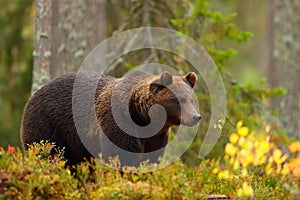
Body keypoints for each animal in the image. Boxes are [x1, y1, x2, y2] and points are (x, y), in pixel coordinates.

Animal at [20, 71, 199, 166]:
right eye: (180, 100)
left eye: (191, 100)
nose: (196, 117)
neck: (144, 119)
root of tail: (33, 96)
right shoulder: (119, 123)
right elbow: (122, 157)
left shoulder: (156, 138)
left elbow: (150, 159)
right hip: (48, 126)